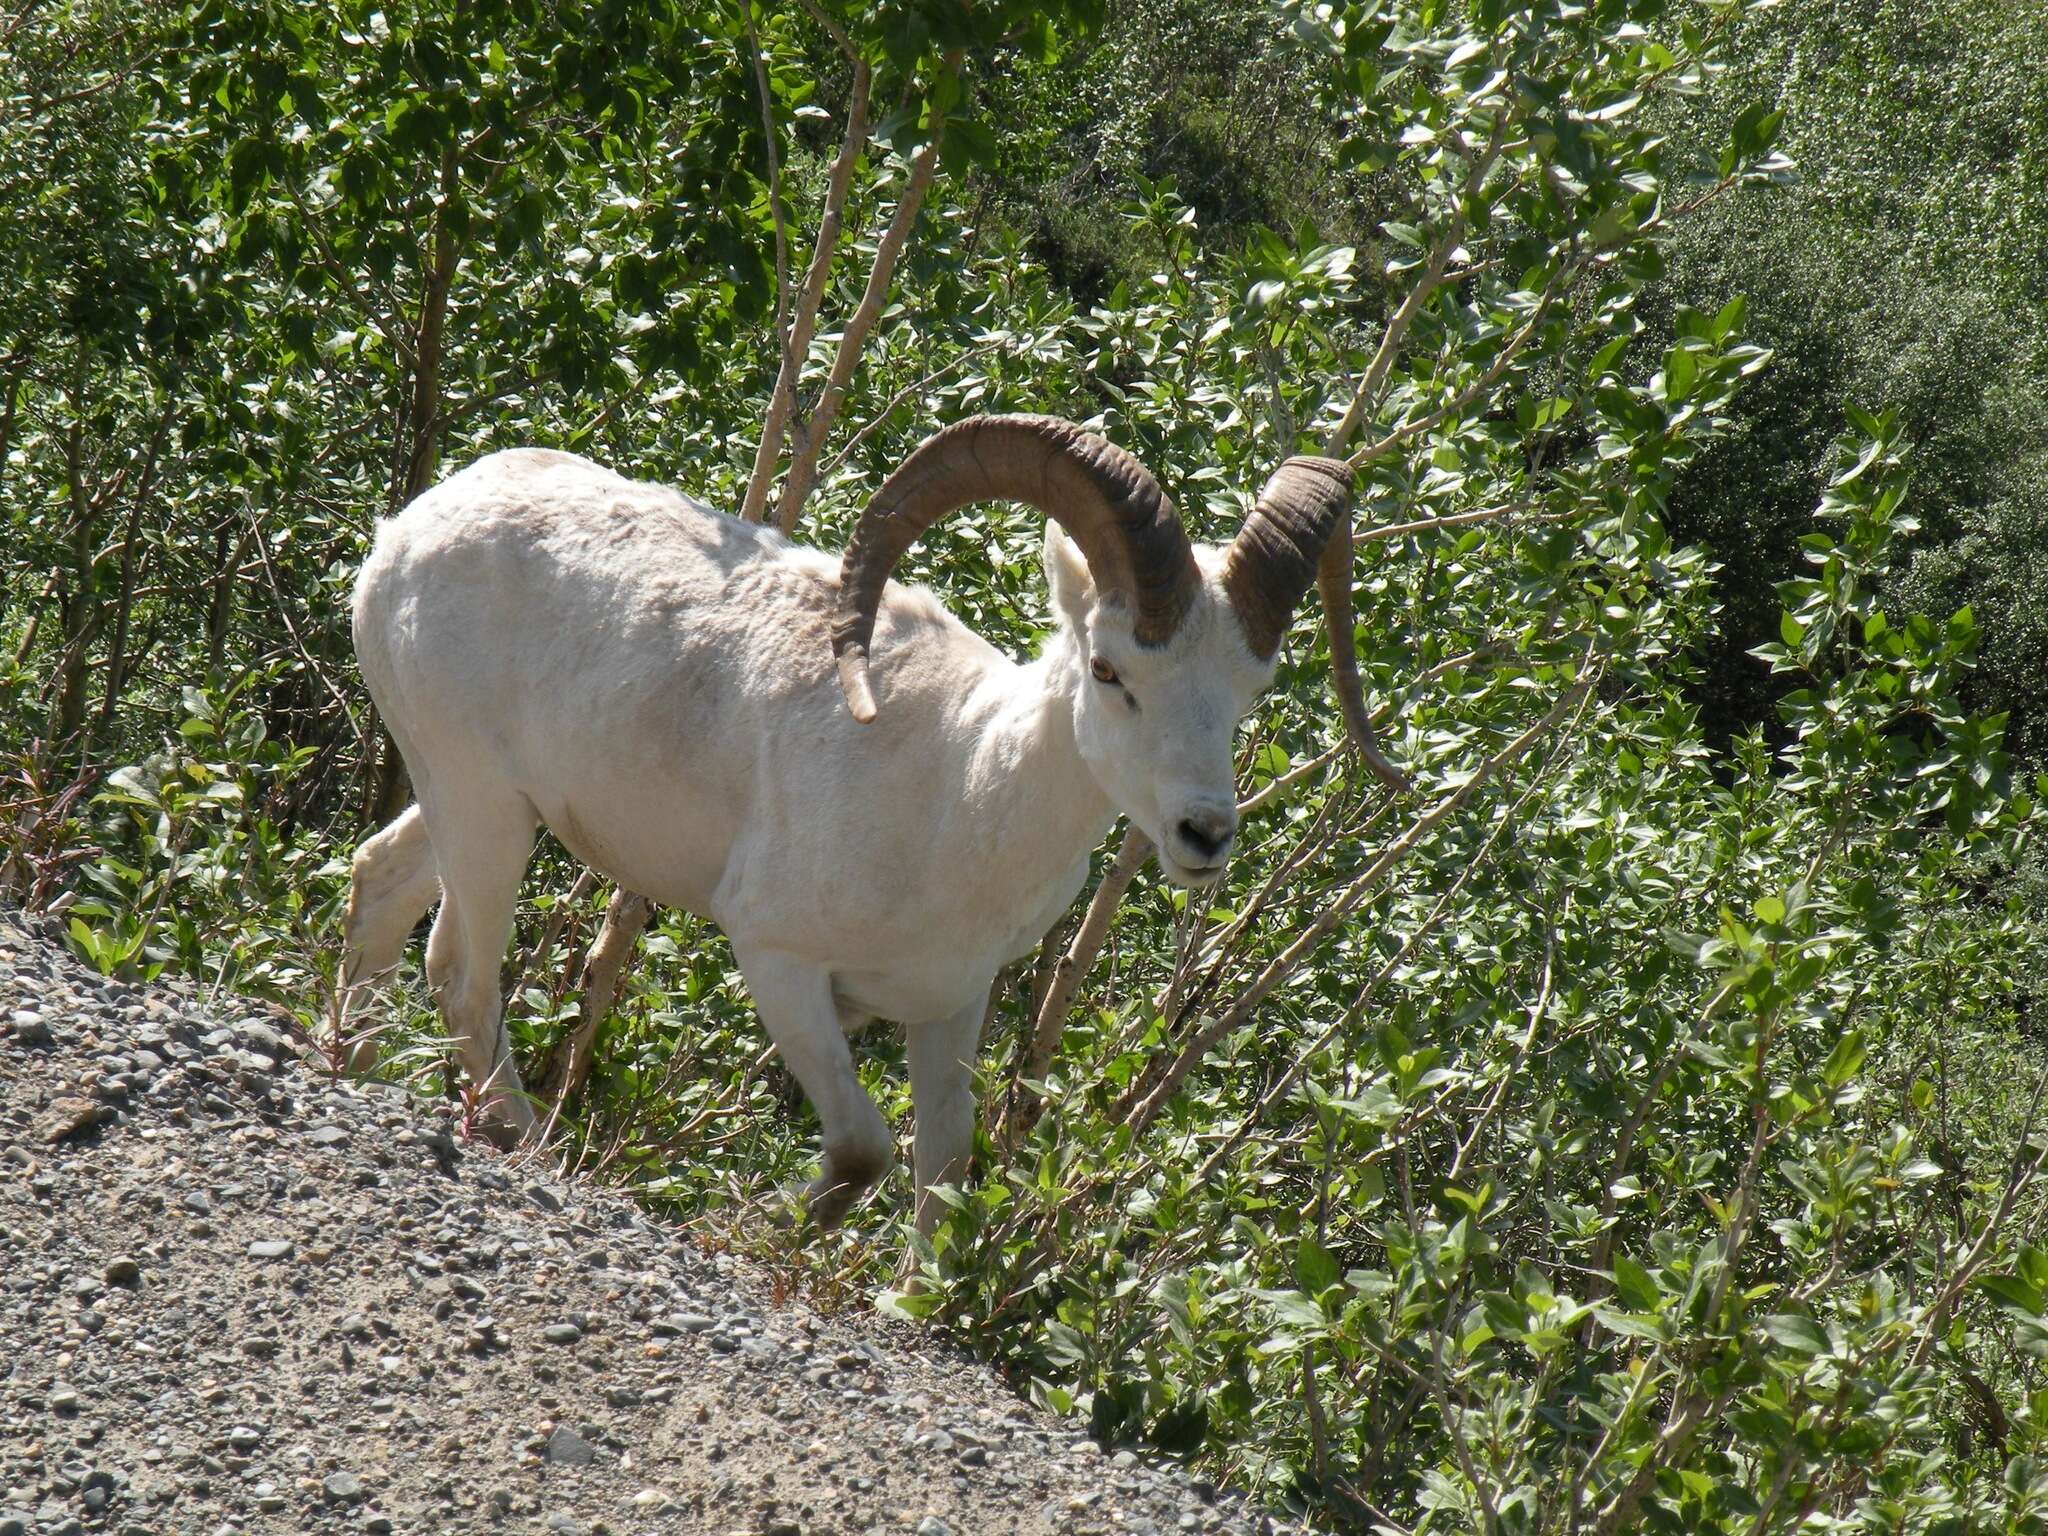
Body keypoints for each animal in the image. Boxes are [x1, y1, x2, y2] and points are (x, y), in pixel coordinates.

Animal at [344, 415, 1384, 1245]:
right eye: (1109, 670)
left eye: (1250, 691)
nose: (1203, 834)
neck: (956, 792)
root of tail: (408, 530)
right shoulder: (780, 964)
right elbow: (860, 1152)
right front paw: (752, 1228)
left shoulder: (948, 1007)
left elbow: (940, 1177)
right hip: (485, 813)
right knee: (463, 974)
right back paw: (526, 1143)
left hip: (472, 803)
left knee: (381, 885)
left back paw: (352, 1059)